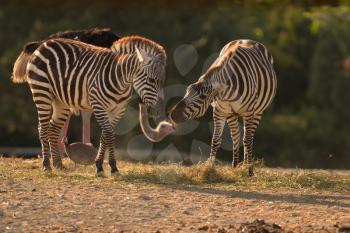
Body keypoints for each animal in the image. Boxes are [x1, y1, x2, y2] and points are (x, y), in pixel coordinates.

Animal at [11, 35, 167, 176]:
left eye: (162, 81)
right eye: (151, 80)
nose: (158, 111)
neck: (121, 80)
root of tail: (44, 42)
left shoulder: (118, 110)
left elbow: (105, 136)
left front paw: (101, 165)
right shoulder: (98, 105)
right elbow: (109, 134)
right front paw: (110, 167)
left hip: (61, 101)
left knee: (53, 129)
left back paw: (58, 164)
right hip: (41, 92)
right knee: (43, 128)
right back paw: (46, 165)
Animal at [169, 39, 276, 173]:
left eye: (203, 97)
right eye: (186, 91)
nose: (173, 115)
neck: (227, 92)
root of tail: (248, 40)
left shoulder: (248, 111)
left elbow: (247, 140)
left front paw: (248, 170)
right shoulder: (219, 111)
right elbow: (215, 140)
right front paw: (209, 167)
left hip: (257, 111)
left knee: (249, 137)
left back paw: (247, 165)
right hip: (231, 113)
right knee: (236, 136)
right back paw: (235, 166)